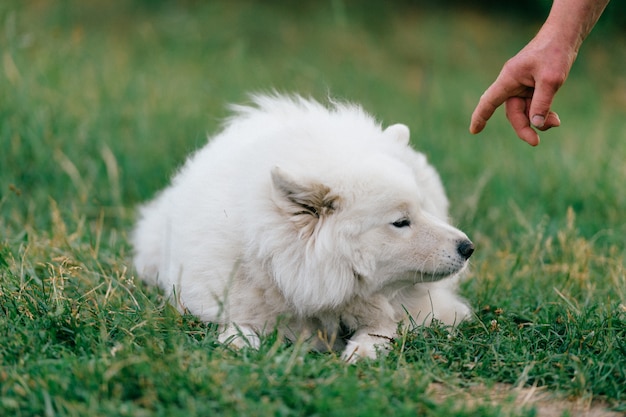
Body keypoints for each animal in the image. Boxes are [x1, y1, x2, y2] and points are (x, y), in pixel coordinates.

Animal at [132, 92, 472, 360]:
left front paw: (363, 351)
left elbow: (383, 327)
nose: (468, 247)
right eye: (401, 222)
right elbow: (239, 327)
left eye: (424, 209)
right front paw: (238, 344)